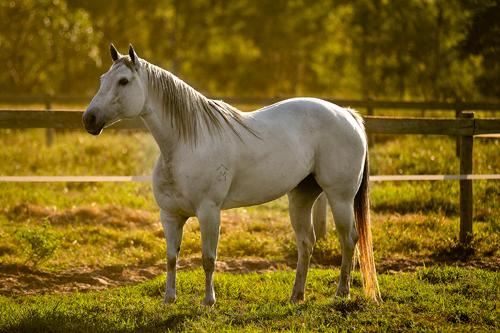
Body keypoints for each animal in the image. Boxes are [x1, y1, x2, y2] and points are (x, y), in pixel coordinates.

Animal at [83, 44, 378, 306]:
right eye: (102, 79)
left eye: (123, 81)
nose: (89, 119)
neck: (186, 144)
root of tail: (347, 115)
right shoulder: (170, 216)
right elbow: (171, 258)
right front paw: (169, 299)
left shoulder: (209, 212)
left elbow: (208, 258)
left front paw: (208, 301)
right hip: (301, 197)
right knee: (306, 243)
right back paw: (296, 296)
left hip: (339, 198)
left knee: (349, 240)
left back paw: (341, 293)